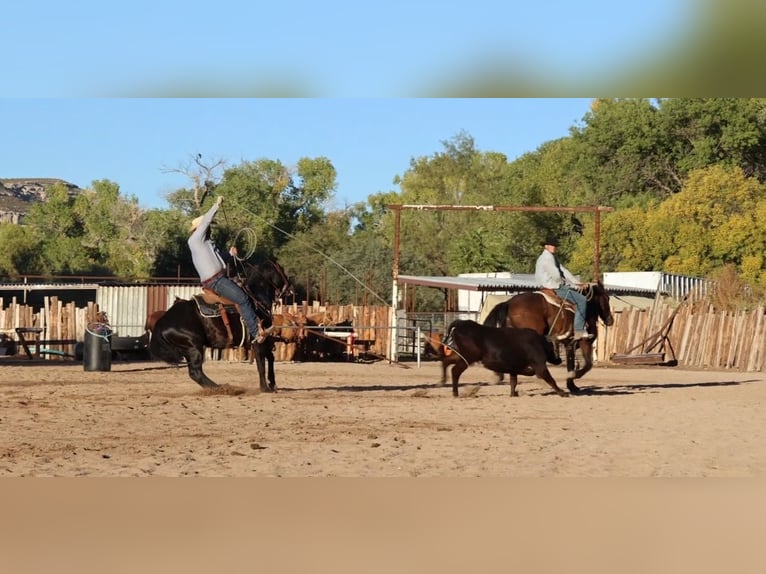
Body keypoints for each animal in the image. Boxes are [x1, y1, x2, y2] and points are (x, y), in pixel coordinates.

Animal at [148, 258, 292, 394]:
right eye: (281, 269)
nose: (290, 288)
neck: (256, 299)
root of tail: (161, 322)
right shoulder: (257, 340)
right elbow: (261, 363)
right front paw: (265, 388)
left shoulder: (266, 339)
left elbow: (270, 358)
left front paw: (272, 383)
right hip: (193, 348)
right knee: (195, 372)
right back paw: (221, 388)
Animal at [440, 322, 572, 398]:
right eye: (553, 348)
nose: (559, 360)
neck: (538, 342)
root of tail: (460, 325)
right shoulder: (540, 366)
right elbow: (550, 379)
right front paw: (562, 393)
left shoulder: (513, 369)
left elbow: (514, 381)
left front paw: (513, 394)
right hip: (468, 358)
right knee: (455, 371)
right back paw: (455, 393)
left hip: (461, 356)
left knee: (447, 362)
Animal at [486, 284, 616, 396]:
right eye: (607, 298)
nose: (610, 320)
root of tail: (508, 303)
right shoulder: (578, 342)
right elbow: (581, 365)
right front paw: (572, 380)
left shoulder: (575, 344)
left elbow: (579, 364)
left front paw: (572, 384)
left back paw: (511, 388)